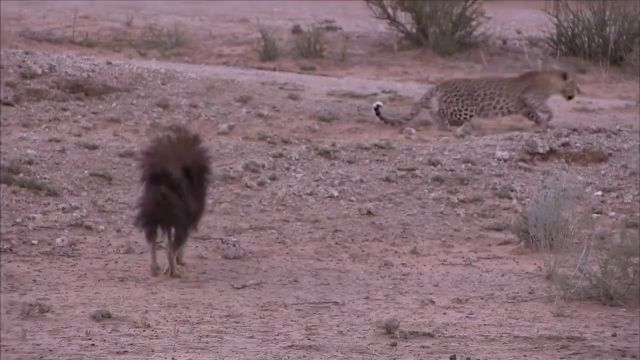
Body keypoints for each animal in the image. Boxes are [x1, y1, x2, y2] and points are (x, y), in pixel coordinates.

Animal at [370, 69, 580, 133]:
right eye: (574, 84)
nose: (575, 95)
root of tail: (443, 83)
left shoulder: (524, 108)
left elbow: (536, 116)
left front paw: (544, 124)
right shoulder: (531, 99)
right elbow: (548, 109)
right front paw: (548, 120)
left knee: (432, 111)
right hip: (465, 108)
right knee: (438, 112)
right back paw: (452, 128)